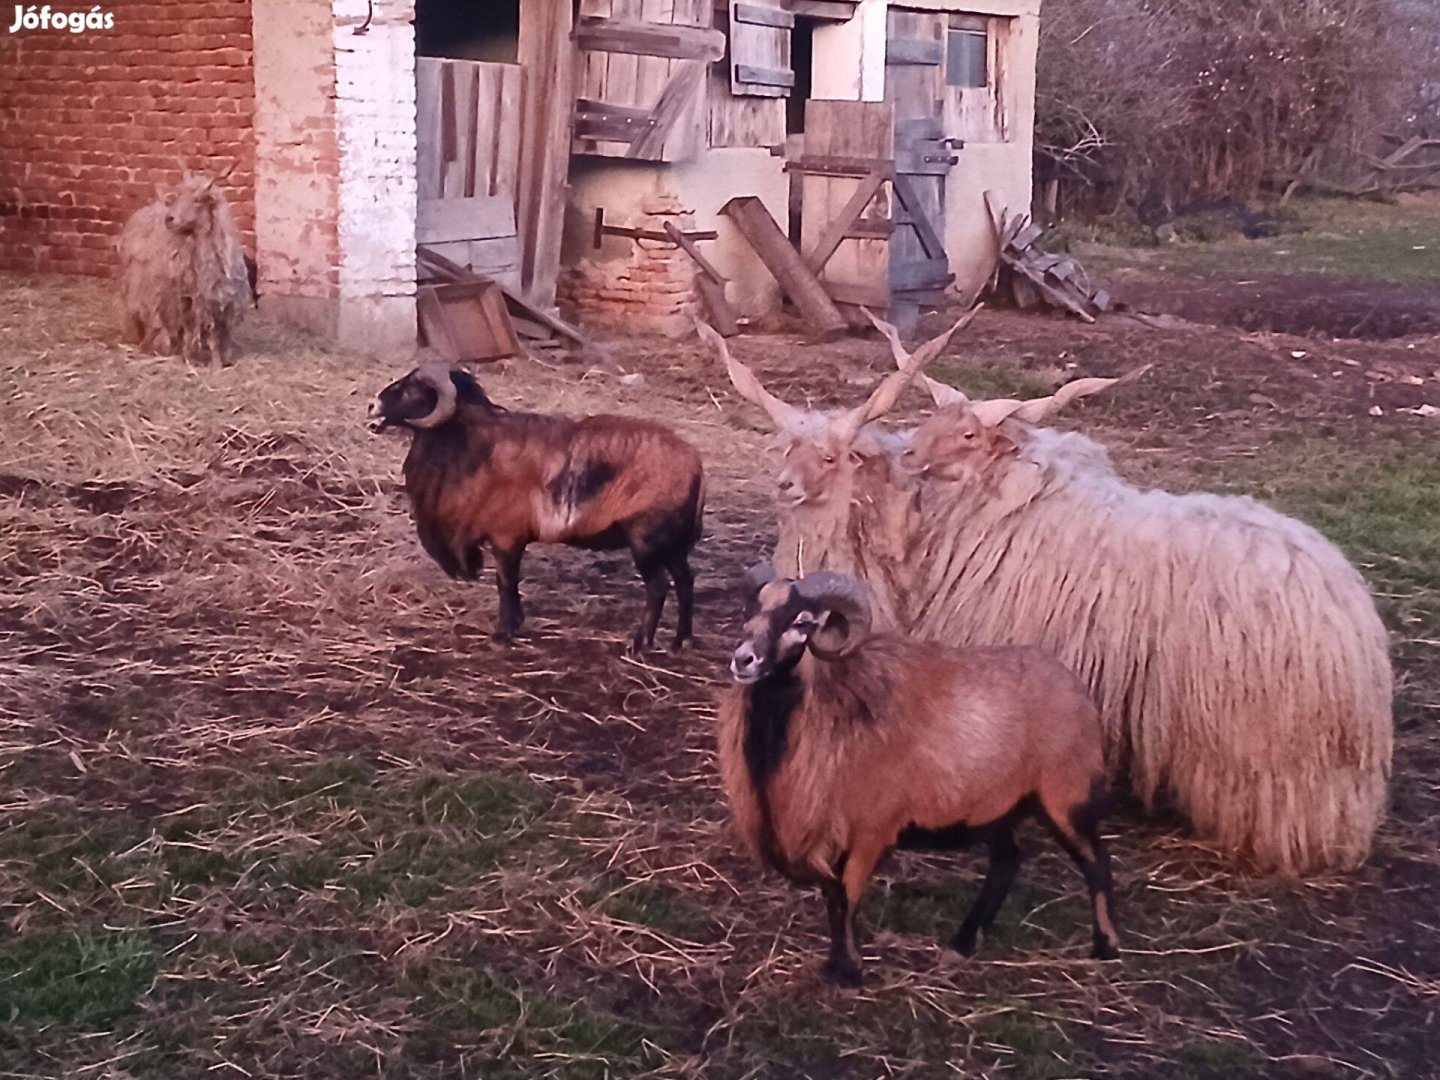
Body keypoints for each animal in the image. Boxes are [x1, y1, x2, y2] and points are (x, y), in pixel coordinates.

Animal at [368, 364, 705, 656]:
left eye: (411, 389)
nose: (372, 406)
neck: (469, 443)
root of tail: (696, 466)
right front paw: (514, 626)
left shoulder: (506, 537)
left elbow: (505, 582)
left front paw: (503, 634)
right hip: (672, 544)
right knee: (685, 581)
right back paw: (681, 642)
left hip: (646, 540)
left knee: (659, 587)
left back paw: (639, 643)